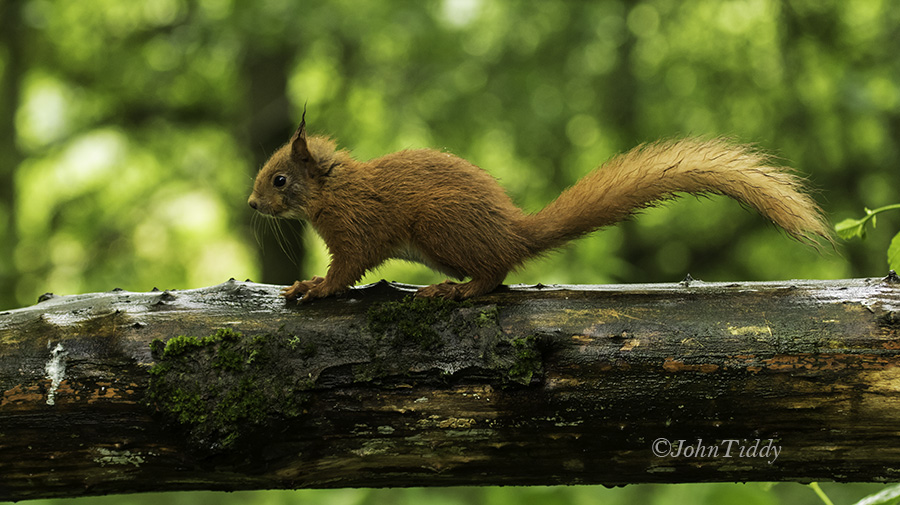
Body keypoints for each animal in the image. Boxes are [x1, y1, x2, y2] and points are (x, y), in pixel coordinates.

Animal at [248, 113, 828, 300]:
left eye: (280, 179)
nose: (252, 203)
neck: (332, 191)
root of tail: (513, 232)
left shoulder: (357, 227)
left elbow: (348, 268)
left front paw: (313, 286)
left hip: (439, 225)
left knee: (494, 274)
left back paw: (454, 291)